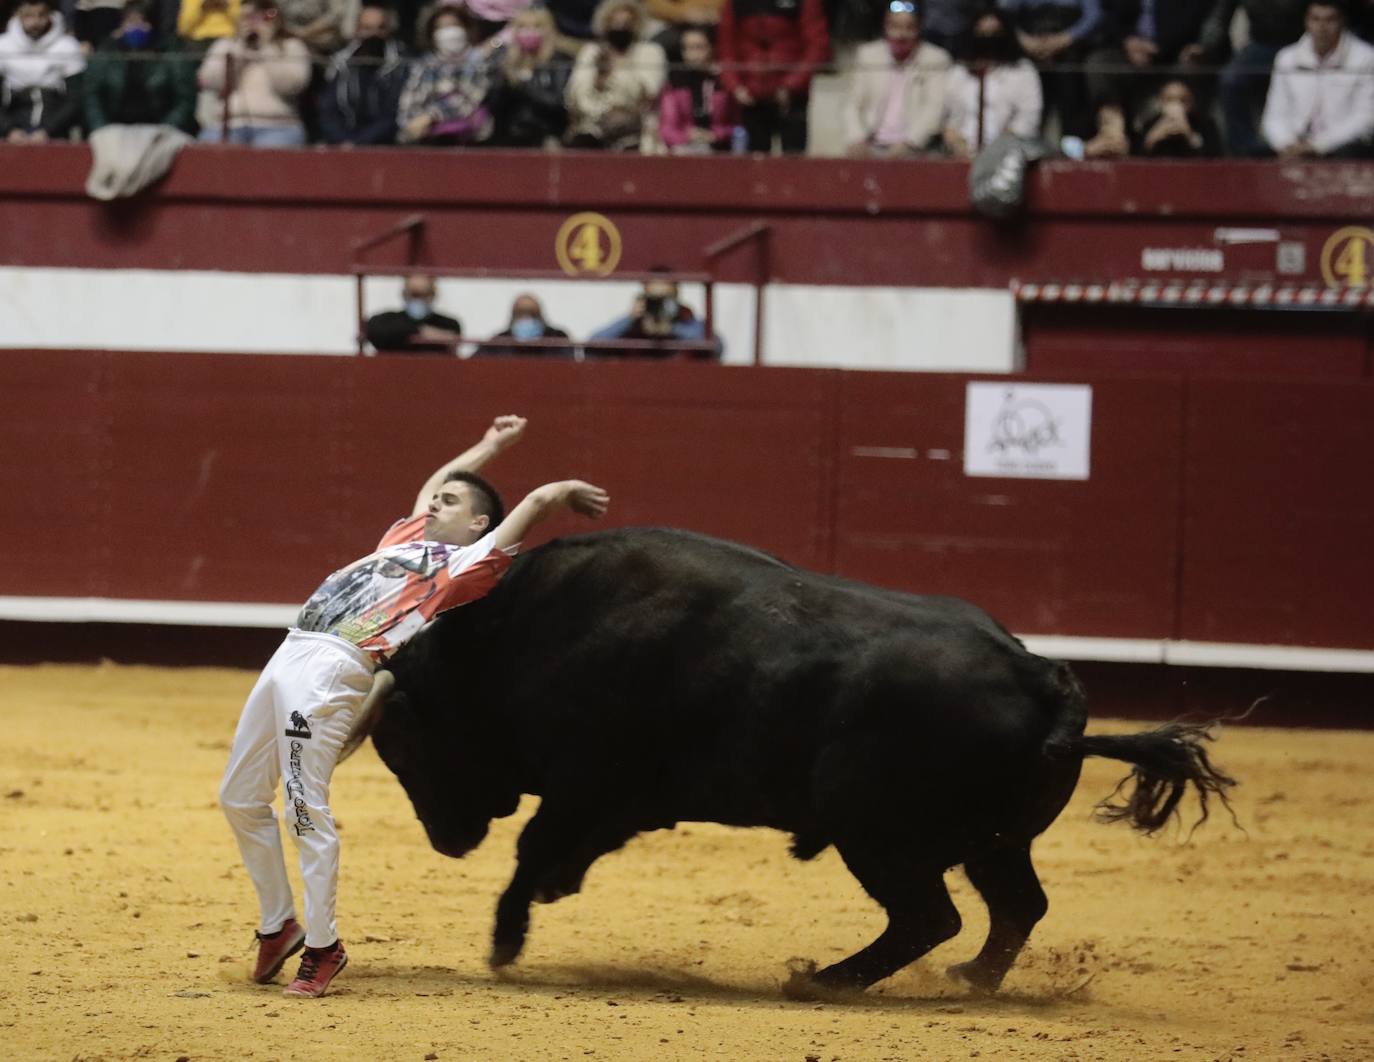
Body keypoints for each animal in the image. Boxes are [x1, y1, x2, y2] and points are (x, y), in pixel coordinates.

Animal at [354, 530, 1236, 994]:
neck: (517, 638)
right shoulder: (619, 798)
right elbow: (564, 849)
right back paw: (968, 982)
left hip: (878, 837)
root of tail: (1045, 681)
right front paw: (545, 896)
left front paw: (505, 942)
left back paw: (825, 980)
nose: (447, 841)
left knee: (930, 917)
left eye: (403, 744)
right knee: (1014, 907)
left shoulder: (584, 782)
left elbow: (534, 846)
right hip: (990, 843)